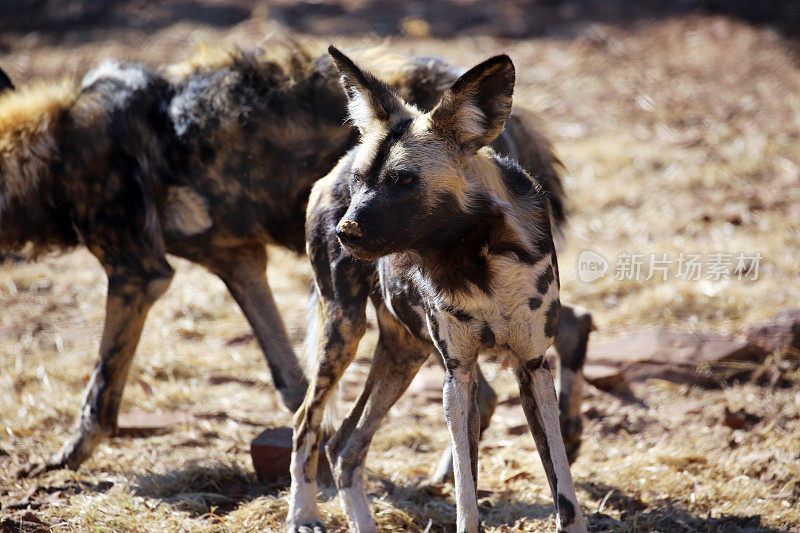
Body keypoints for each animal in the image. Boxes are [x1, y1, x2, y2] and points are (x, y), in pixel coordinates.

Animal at [0, 44, 588, 478]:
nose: (346, 228)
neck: (55, 147)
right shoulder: (239, 263)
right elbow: (289, 379)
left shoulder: (138, 275)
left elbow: (99, 387)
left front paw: (68, 457)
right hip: (398, 314)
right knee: (567, 330)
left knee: (504, 377)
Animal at [294, 46, 588, 532]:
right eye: (361, 180)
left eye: (402, 180)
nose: (344, 231)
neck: (474, 263)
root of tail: (334, 165)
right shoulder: (459, 373)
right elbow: (466, 494)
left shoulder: (531, 365)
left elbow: (563, 491)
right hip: (344, 331)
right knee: (308, 423)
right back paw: (302, 514)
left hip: (405, 351)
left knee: (344, 446)